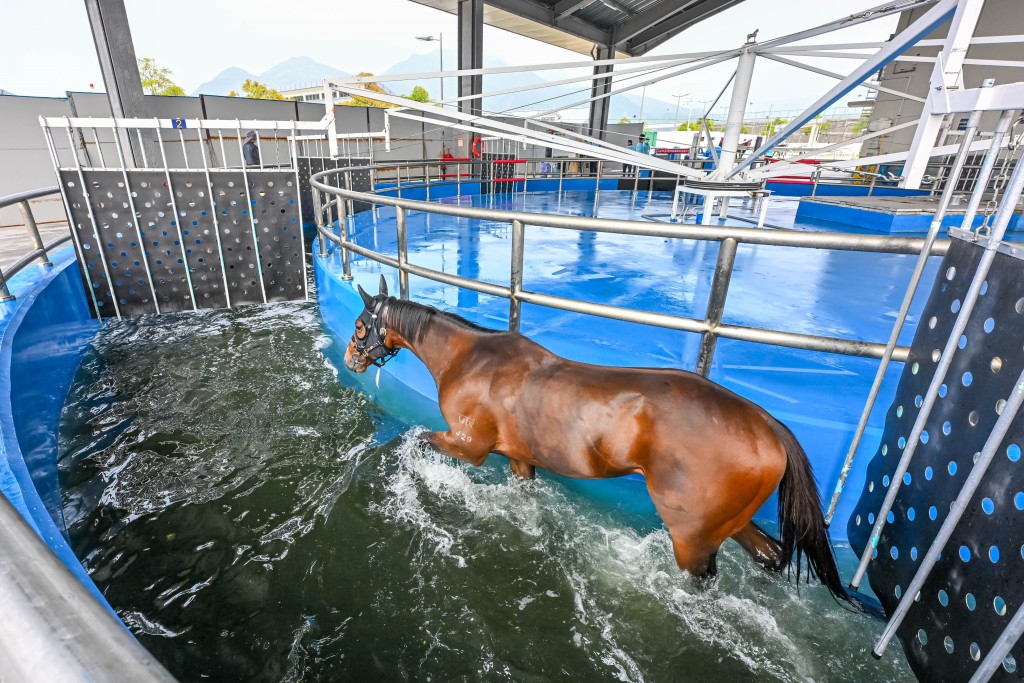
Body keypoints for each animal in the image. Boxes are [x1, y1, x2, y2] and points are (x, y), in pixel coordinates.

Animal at [343, 276, 846, 600]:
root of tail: (768, 425)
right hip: (728, 521)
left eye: (359, 325)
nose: (352, 358)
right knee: (771, 555)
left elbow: (417, 440)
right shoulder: (520, 459)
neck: (470, 359)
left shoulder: (469, 445)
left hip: (693, 537)